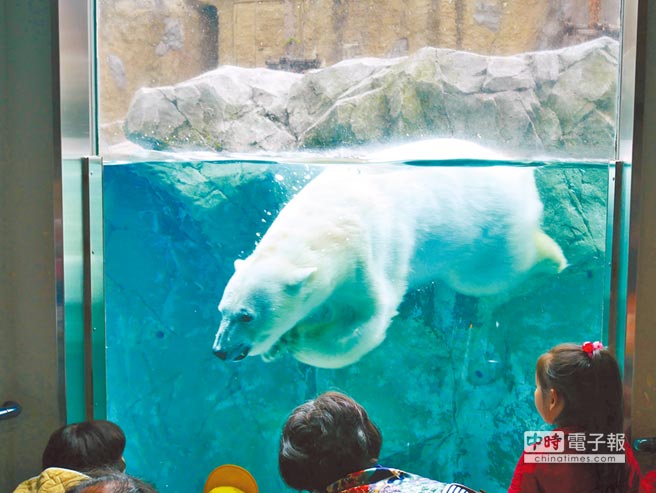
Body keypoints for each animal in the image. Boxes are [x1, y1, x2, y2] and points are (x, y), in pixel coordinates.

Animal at [213, 140, 568, 368]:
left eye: (246, 315)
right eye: (222, 310)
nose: (220, 350)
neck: (328, 223)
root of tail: (522, 174)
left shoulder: (366, 252)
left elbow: (368, 319)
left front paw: (296, 338)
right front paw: (277, 345)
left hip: (489, 228)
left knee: (492, 274)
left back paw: (553, 258)